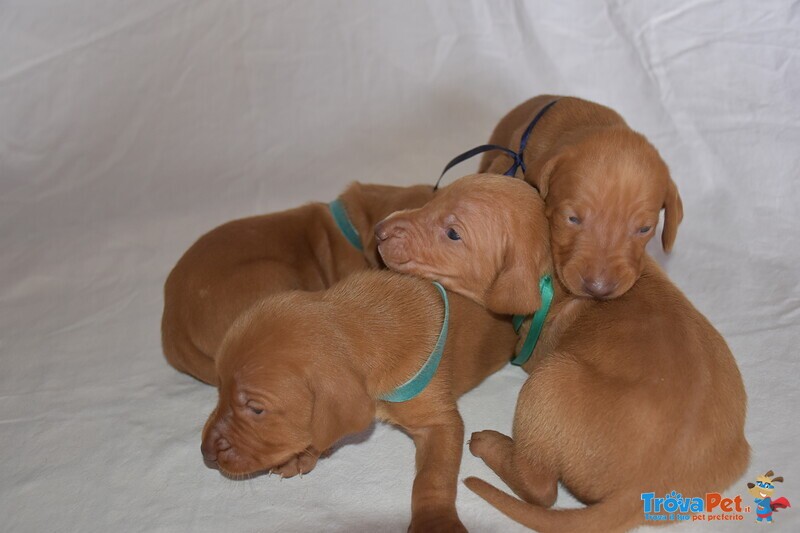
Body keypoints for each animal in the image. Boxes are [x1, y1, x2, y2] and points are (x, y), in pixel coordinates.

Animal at [200, 270, 520, 532]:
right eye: (219, 388)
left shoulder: (439, 422)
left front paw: (435, 523)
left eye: (256, 409)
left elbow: (432, 477)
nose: (205, 454)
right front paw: (302, 454)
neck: (366, 323)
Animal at [376, 174, 752, 528]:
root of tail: (641, 492)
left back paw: (491, 444)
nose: (379, 232)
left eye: (453, 234)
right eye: (434, 199)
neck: (553, 273)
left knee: (541, 489)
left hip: (549, 380)